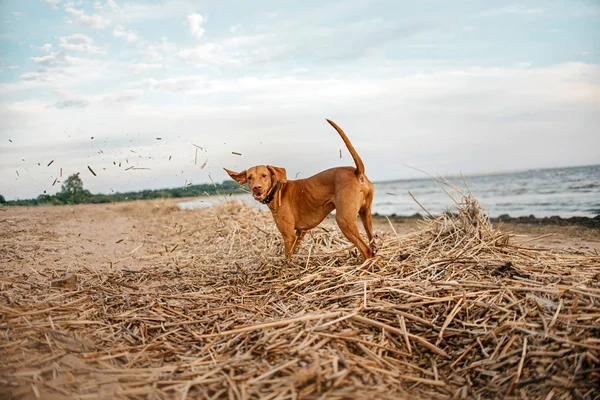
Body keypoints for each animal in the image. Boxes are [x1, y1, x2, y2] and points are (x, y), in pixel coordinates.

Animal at [225, 119, 376, 260]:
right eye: (249, 177)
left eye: (264, 175)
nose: (257, 188)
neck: (278, 192)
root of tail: (357, 172)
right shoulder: (300, 232)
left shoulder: (288, 235)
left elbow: (287, 257)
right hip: (366, 215)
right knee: (372, 244)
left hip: (344, 220)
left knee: (366, 250)